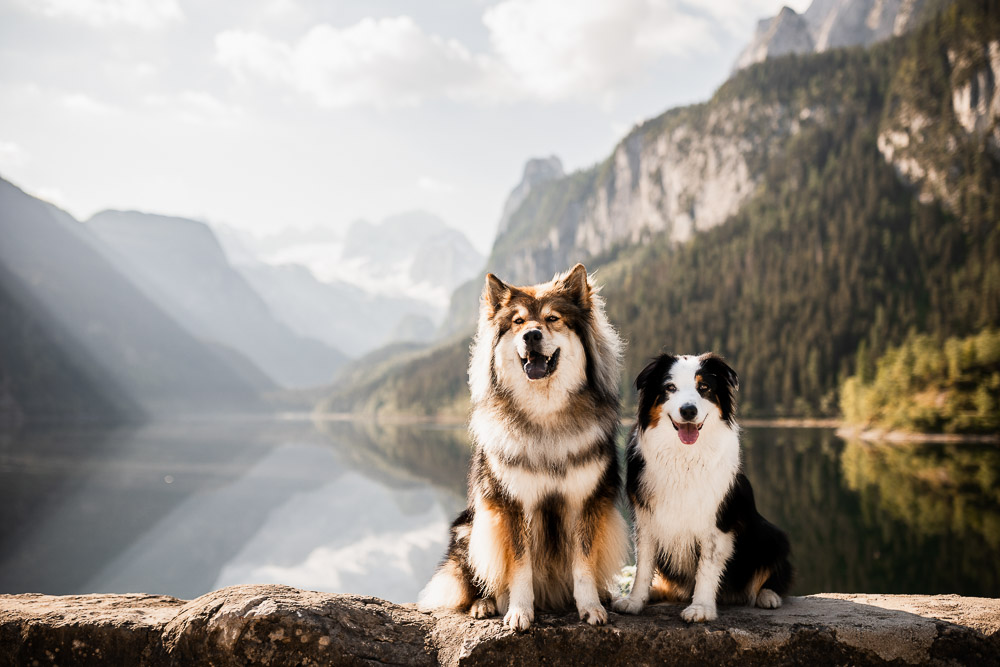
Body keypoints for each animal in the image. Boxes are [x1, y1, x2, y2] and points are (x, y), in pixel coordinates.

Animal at [420, 264, 624, 632]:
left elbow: (584, 563)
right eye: (517, 322)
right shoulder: (512, 504)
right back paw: (485, 604)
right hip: (469, 527)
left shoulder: (585, 501)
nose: (531, 335)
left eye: (553, 318)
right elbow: (519, 566)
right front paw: (518, 611)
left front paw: (590, 607)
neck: (545, 414)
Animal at [612, 354, 792, 620]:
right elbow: (643, 566)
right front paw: (635, 601)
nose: (688, 410)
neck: (684, 458)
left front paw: (701, 608)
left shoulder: (716, 523)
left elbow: (706, 568)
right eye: (670, 388)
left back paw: (768, 596)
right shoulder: (647, 520)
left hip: (772, 535)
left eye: (704, 387)